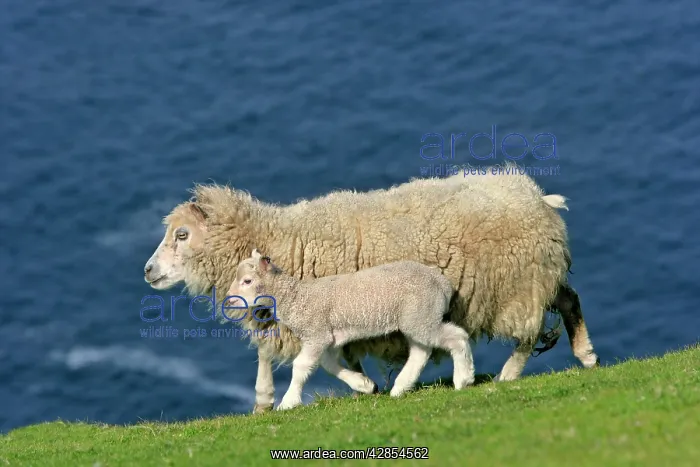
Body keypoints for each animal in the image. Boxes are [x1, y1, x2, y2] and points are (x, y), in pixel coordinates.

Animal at [224, 249, 475, 410]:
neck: (296, 297)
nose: (230, 301)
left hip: (421, 316)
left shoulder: (317, 333)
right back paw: (400, 388)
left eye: (247, 281)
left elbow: (301, 366)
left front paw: (288, 402)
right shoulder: (329, 338)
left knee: (457, 337)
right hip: (417, 318)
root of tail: (441, 282)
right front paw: (363, 384)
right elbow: (328, 365)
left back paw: (463, 379)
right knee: (421, 352)